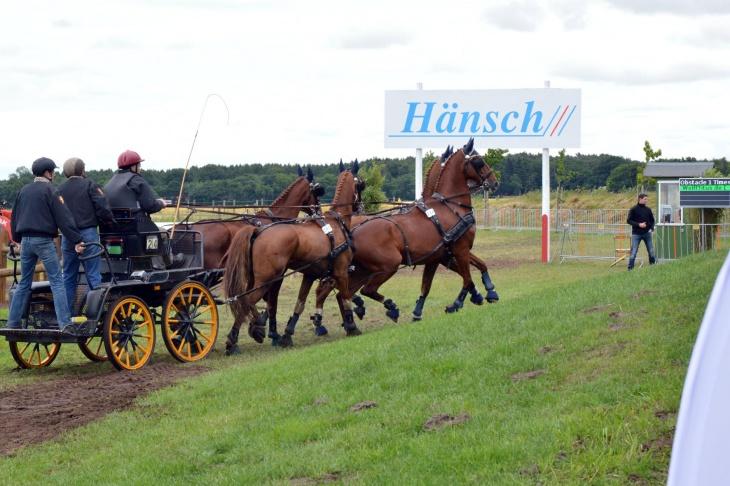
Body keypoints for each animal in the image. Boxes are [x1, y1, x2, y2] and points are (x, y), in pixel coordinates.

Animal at [223, 162, 364, 353]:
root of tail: (258, 230)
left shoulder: (309, 275)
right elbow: (346, 298)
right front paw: (352, 327)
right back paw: (234, 340)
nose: (361, 207)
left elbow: (300, 304)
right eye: (361, 184)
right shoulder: (341, 272)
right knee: (246, 302)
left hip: (256, 279)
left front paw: (287, 335)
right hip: (266, 280)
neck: (337, 222)